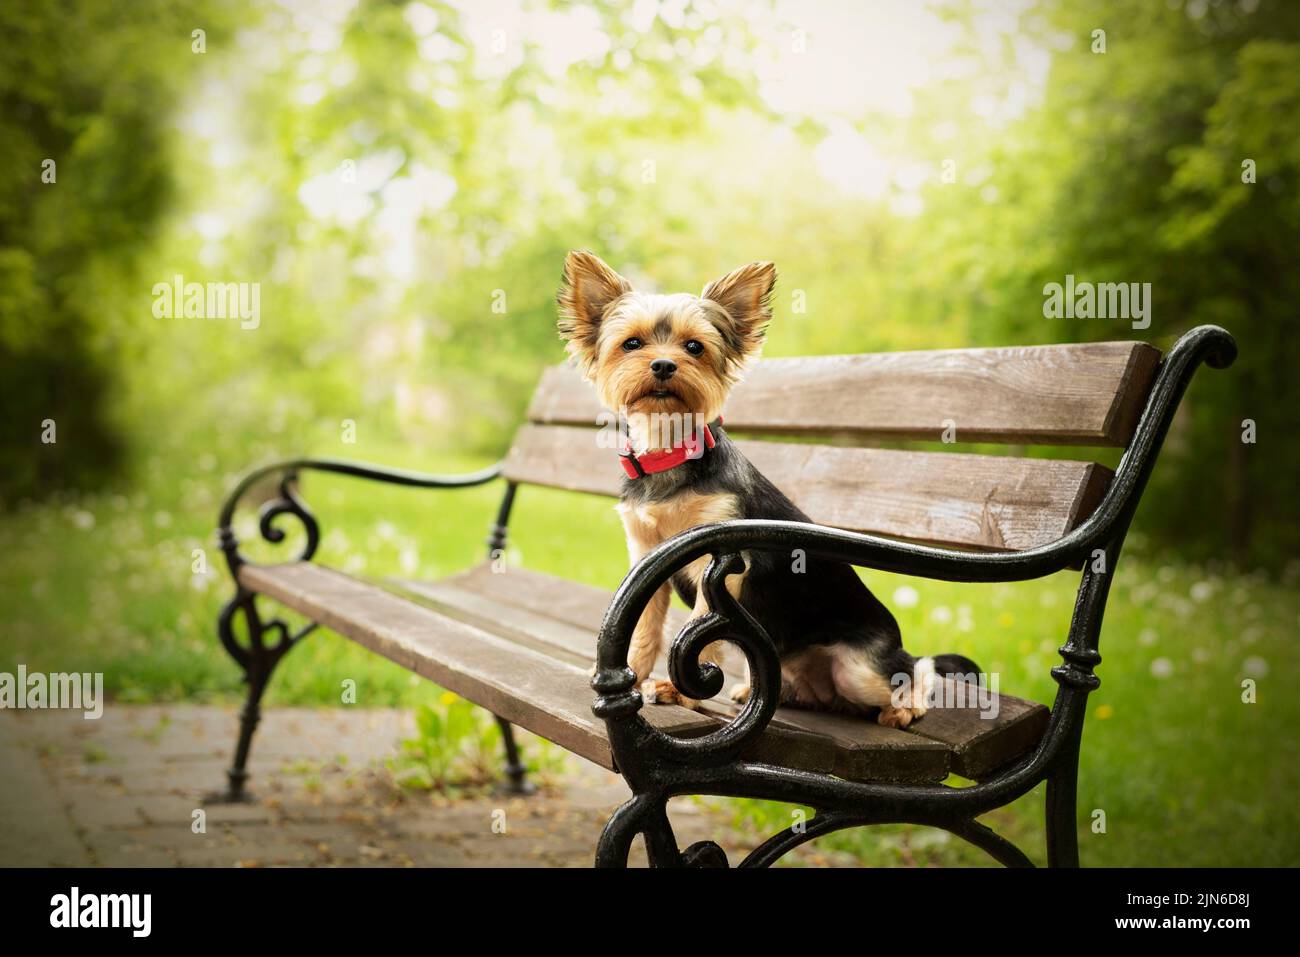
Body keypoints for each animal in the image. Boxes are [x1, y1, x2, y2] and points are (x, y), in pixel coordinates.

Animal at [556, 250, 977, 728]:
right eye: (632, 344)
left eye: (694, 347)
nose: (663, 365)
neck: (671, 452)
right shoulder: (647, 555)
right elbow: (644, 627)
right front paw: (635, 675)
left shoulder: (723, 560)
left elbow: (702, 629)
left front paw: (681, 692)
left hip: (859, 669)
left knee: (915, 667)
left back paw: (906, 707)